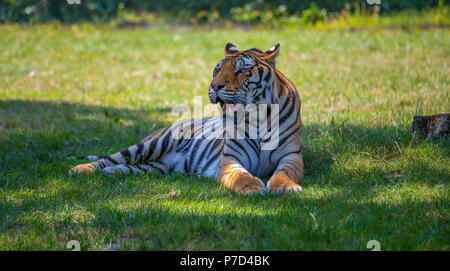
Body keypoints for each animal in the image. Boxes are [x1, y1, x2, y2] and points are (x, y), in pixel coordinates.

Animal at [70, 42, 304, 196]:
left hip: (154, 167)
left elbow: (285, 173)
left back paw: (111, 172)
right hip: (150, 145)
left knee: (127, 167)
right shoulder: (231, 159)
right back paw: (81, 169)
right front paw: (253, 187)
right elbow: (241, 176)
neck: (258, 117)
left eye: (241, 70)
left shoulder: (292, 157)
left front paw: (286, 187)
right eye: (218, 69)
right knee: (112, 158)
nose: (214, 86)